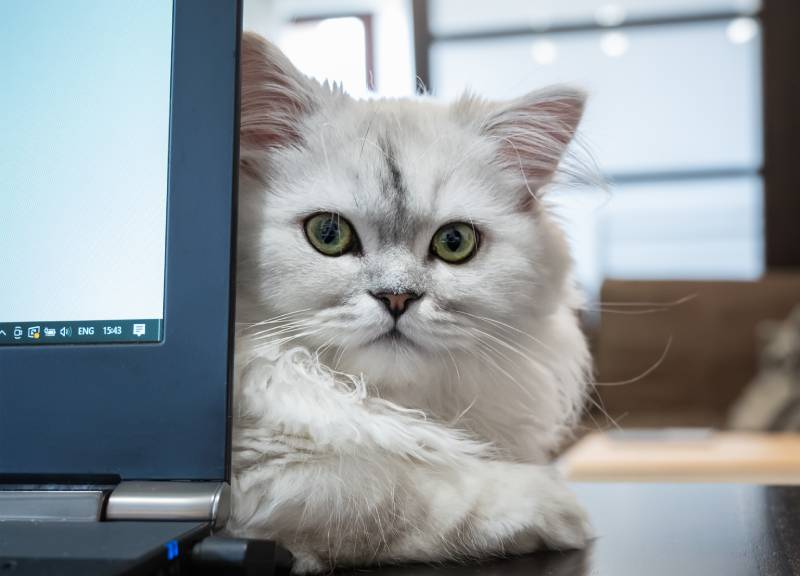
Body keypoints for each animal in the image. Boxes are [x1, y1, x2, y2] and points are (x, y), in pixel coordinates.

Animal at [228, 35, 592, 572]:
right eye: (328, 234)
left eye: (455, 242)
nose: (396, 297)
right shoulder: (259, 473)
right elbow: (394, 489)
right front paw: (553, 505)